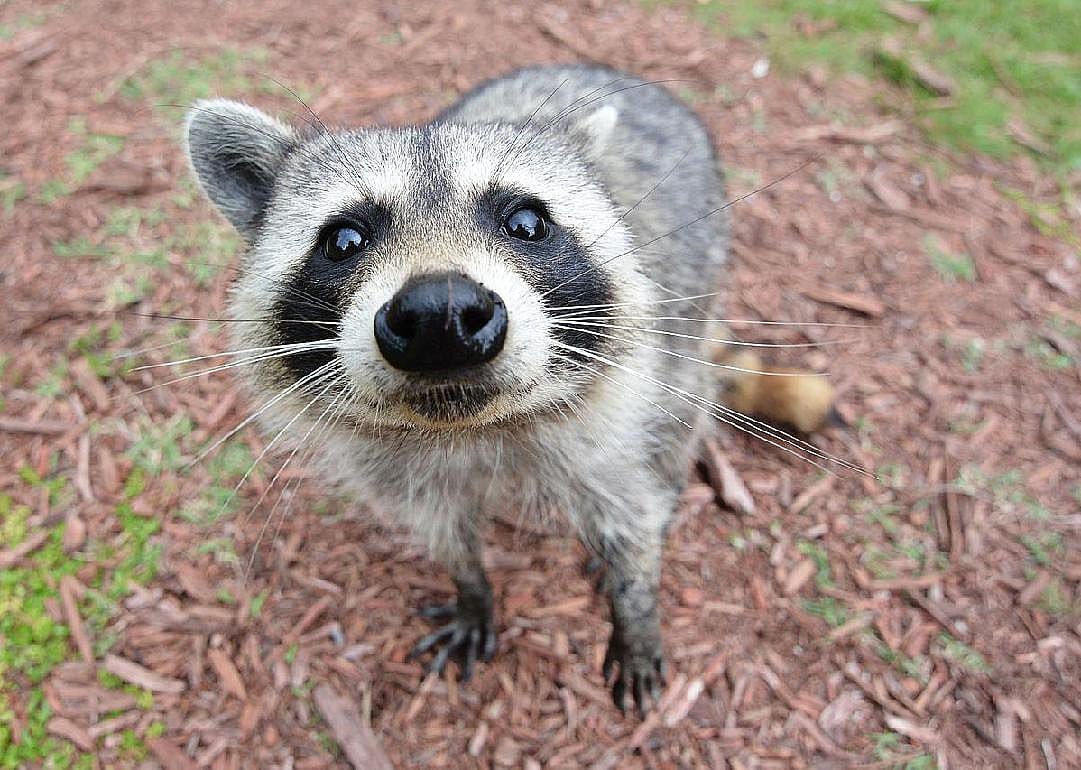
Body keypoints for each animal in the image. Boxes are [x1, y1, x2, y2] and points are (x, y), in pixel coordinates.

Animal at [185, 65, 770, 714]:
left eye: (526, 223)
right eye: (344, 240)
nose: (439, 315)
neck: (470, 427)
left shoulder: (618, 411)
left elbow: (630, 508)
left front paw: (636, 605)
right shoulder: (395, 467)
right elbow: (442, 528)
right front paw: (471, 586)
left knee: (675, 421)